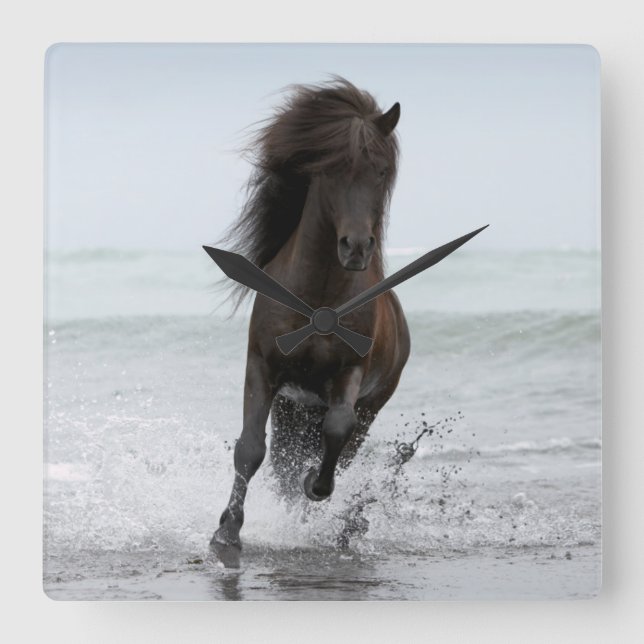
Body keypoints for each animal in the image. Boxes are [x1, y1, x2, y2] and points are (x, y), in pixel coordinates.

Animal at [211, 78, 410, 558]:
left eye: (380, 171)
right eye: (330, 169)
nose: (355, 247)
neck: (320, 296)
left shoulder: (350, 374)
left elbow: (335, 433)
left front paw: (313, 487)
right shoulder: (262, 368)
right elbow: (249, 449)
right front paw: (227, 533)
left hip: (368, 406)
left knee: (339, 446)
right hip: (291, 406)